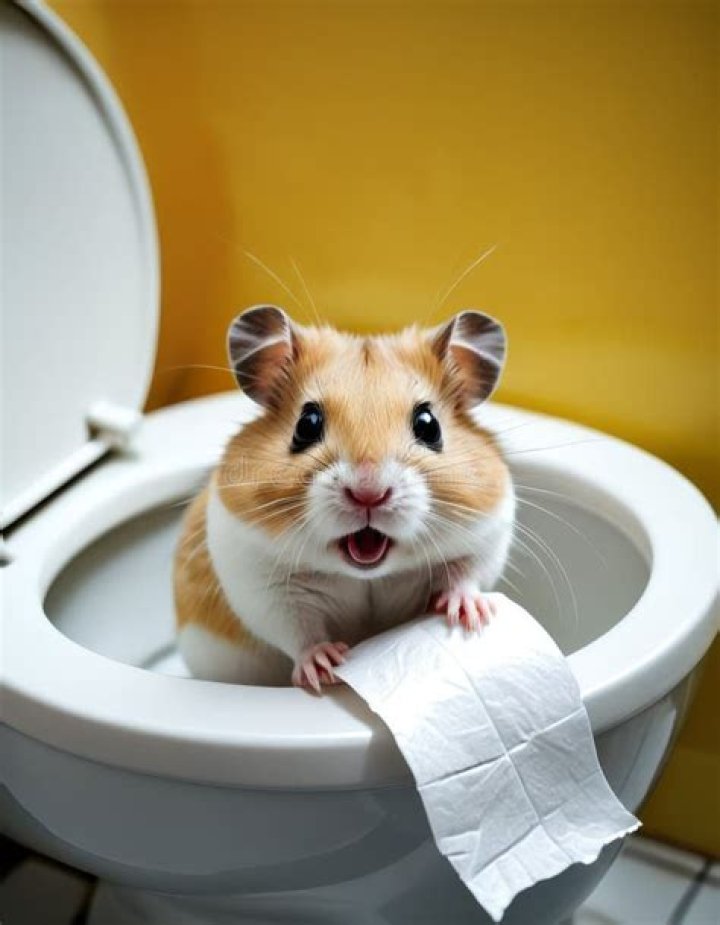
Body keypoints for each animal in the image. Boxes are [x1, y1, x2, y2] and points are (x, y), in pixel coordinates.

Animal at [174, 306, 515, 691]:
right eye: (306, 424)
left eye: (429, 426)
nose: (369, 493)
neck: (365, 574)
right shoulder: (261, 581)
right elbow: (298, 632)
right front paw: (324, 668)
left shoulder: (485, 538)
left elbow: (465, 575)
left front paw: (471, 617)